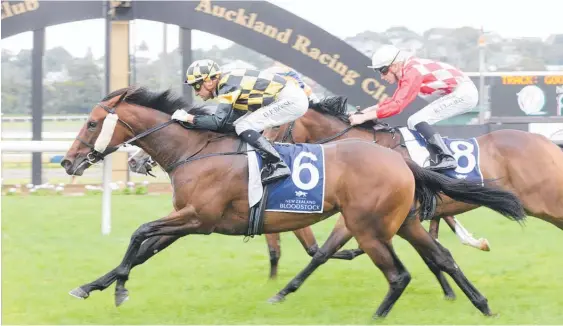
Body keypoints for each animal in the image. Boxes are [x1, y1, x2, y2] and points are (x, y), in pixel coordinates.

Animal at [59, 86, 528, 318]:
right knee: (442, 256)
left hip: (369, 226)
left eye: (92, 123)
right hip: (404, 221)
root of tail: (401, 160)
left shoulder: (198, 218)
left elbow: (139, 236)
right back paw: (482, 305)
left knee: (398, 275)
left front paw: (117, 287)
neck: (196, 149)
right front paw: (96, 286)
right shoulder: (185, 219)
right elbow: (143, 248)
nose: (67, 162)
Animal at [262, 95, 563, 304]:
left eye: (275, 126)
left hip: (547, 200)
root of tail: (547, 143)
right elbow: (323, 253)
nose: (269, 154)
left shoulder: (373, 214)